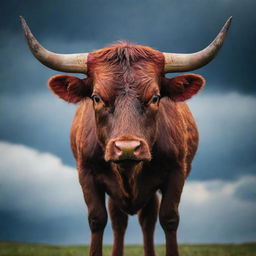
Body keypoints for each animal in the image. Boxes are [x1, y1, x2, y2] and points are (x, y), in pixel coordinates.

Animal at [20, 16, 232, 256]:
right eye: (96, 97)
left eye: (156, 97)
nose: (127, 148)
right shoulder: (86, 173)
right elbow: (97, 219)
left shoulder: (177, 172)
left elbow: (169, 218)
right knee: (118, 221)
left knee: (147, 220)